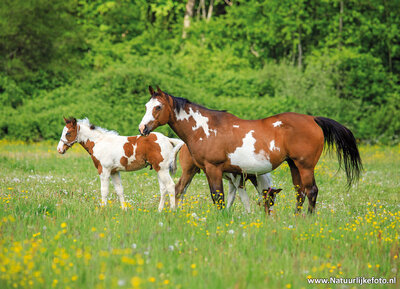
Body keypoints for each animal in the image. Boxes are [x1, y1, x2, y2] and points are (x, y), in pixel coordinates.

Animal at [138, 85, 362, 212]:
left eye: (158, 107)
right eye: (147, 107)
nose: (142, 129)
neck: (205, 128)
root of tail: (313, 119)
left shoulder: (214, 169)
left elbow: (218, 197)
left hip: (305, 166)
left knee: (312, 191)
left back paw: (308, 218)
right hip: (294, 165)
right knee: (300, 191)